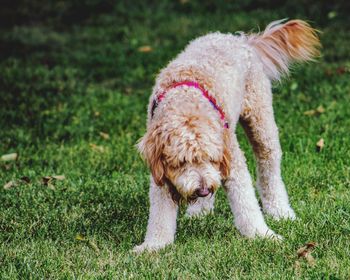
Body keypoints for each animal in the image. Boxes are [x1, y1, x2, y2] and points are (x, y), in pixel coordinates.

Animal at [133, 18, 320, 253]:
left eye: (211, 157)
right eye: (182, 162)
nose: (203, 189)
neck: (187, 101)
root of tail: (242, 39)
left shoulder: (231, 158)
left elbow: (246, 204)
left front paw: (263, 235)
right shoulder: (161, 174)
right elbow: (160, 215)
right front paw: (153, 246)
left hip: (261, 120)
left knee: (269, 166)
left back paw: (279, 210)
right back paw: (200, 212)